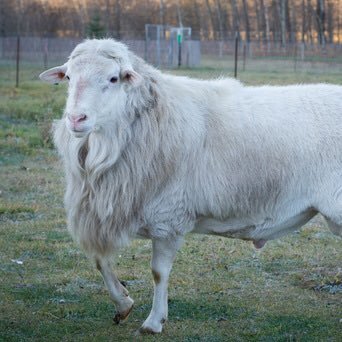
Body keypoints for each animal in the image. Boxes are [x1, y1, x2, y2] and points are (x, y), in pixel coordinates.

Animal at [40, 38, 342, 334]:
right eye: (68, 77)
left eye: (114, 78)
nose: (76, 119)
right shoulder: (108, 212)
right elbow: (99, 260)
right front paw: (123, 304)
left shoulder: (168, 215)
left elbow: (158, 272)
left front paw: (153, 322)